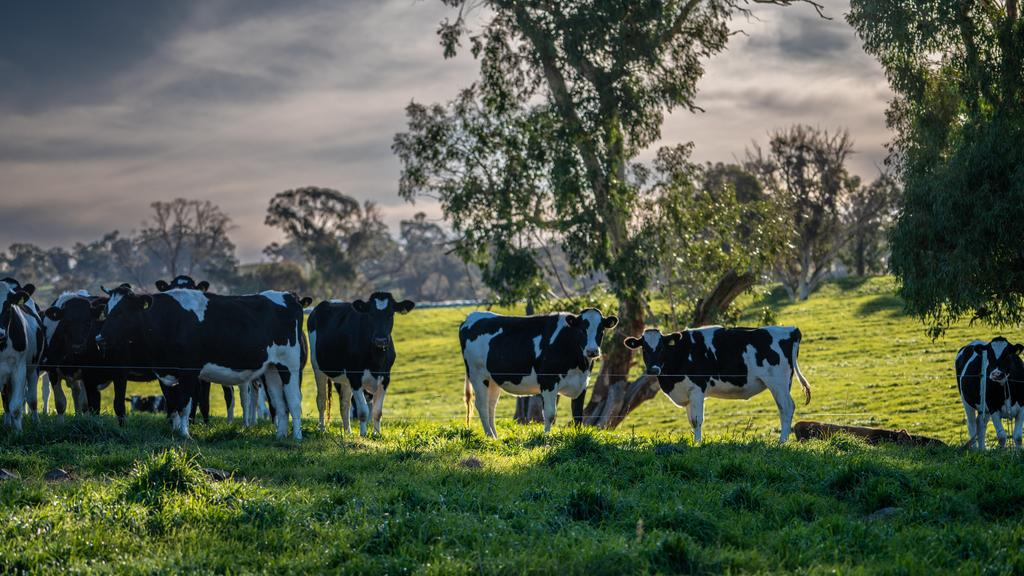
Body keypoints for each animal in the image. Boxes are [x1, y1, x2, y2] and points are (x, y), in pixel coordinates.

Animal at [0, 286, 44, 430]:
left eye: (8, 308)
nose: (0, 334)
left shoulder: (18, 369)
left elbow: (16, 407)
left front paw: (18, 432)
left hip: (33, 369)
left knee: (31, 399)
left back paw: (36, 422)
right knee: (6, 401)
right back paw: (7, 423)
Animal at [97, 284, 305, 436]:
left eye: (122, 312)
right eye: (106, 311)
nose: (99, 339)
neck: (169, 320)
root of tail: (288, 295)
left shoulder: (189, 371)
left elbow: (185, 404)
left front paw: (185, 435)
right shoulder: (168, 373)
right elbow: (173, 404)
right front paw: (176, 431)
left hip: (290, 365)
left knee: (294, 401)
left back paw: (296, 438)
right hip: (271, 369)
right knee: (279, 402)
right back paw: (280, 436)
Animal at [305, 293, 413, 432]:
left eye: (390, 314)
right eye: (371, 314)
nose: (381, 340)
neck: (376, 360)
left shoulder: (385, 378)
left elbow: (377, 412)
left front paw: (377, 434)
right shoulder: (355, 377)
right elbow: (363, 411)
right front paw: (363, 434)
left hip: (345, 379)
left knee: (344, 404)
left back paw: (348, 432)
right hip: (318, 368)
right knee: (322, 401)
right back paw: (322, 429)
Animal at [462, 309, 618, 434]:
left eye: (601, 330)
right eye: (581, 330)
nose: (592, 351)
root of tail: (471, 316)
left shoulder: (582, 383)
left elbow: (578, 415)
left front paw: (578, 437)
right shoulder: (548, 382)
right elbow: (550, 414)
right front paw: (546, 439)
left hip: (493, 379)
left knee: (491, 406)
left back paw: (495, 437)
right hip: (477, 375)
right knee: (482, 405)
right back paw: (489, 436)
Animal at [618, 325, 811, 440]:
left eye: (661, 347)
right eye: (644, 348)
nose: (653, 369)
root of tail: (791, 329)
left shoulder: (697, 390)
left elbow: (697, 420)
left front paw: (697, 444)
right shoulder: (687, 394)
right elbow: (691, 421)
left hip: (777, 382)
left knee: (786, 408)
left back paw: (782, 442)